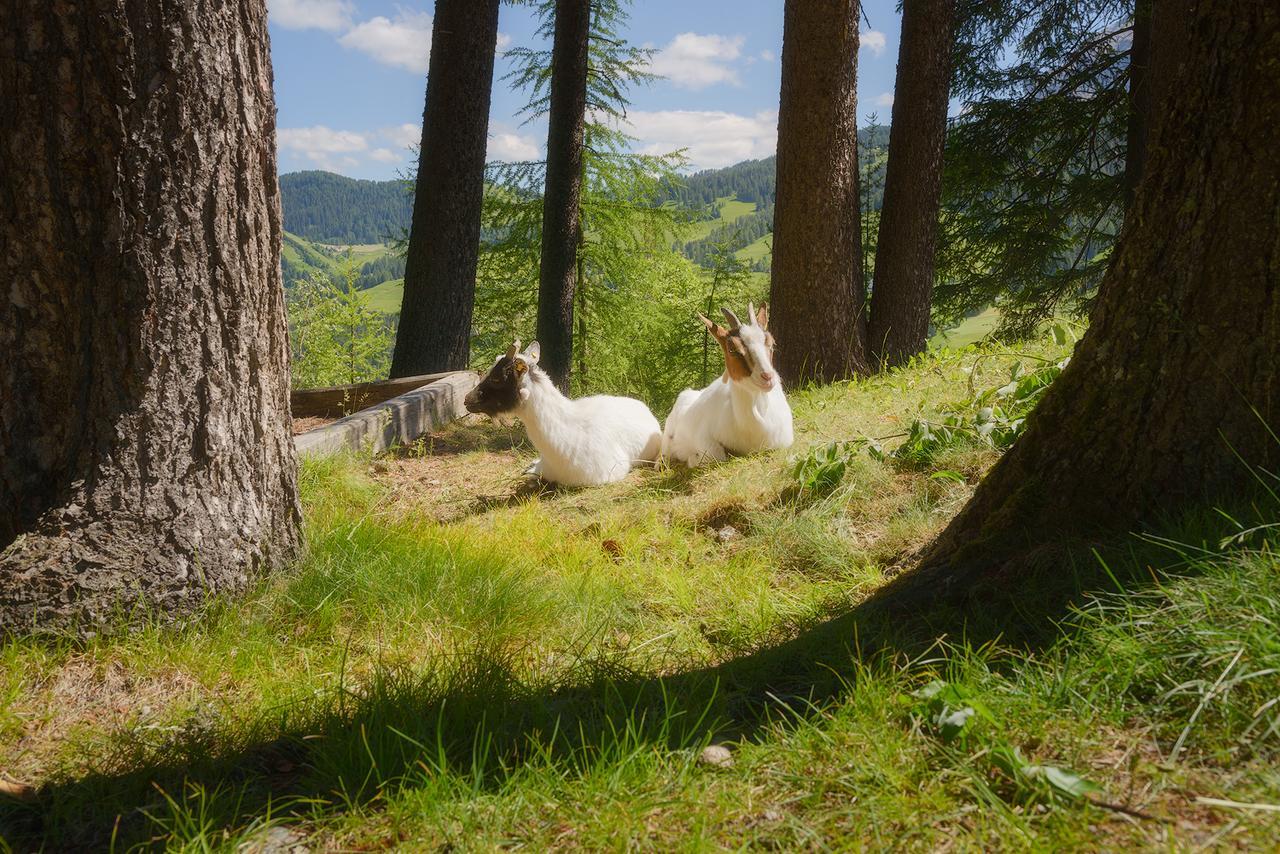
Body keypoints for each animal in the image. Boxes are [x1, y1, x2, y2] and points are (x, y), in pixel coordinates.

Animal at [660, 303, 788, 468]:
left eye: (771, 343)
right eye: (732, 349)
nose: (767, 377)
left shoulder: (784, 439)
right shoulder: (703, 437)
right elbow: (717, 455)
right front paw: (692, 458)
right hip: (667, 434)